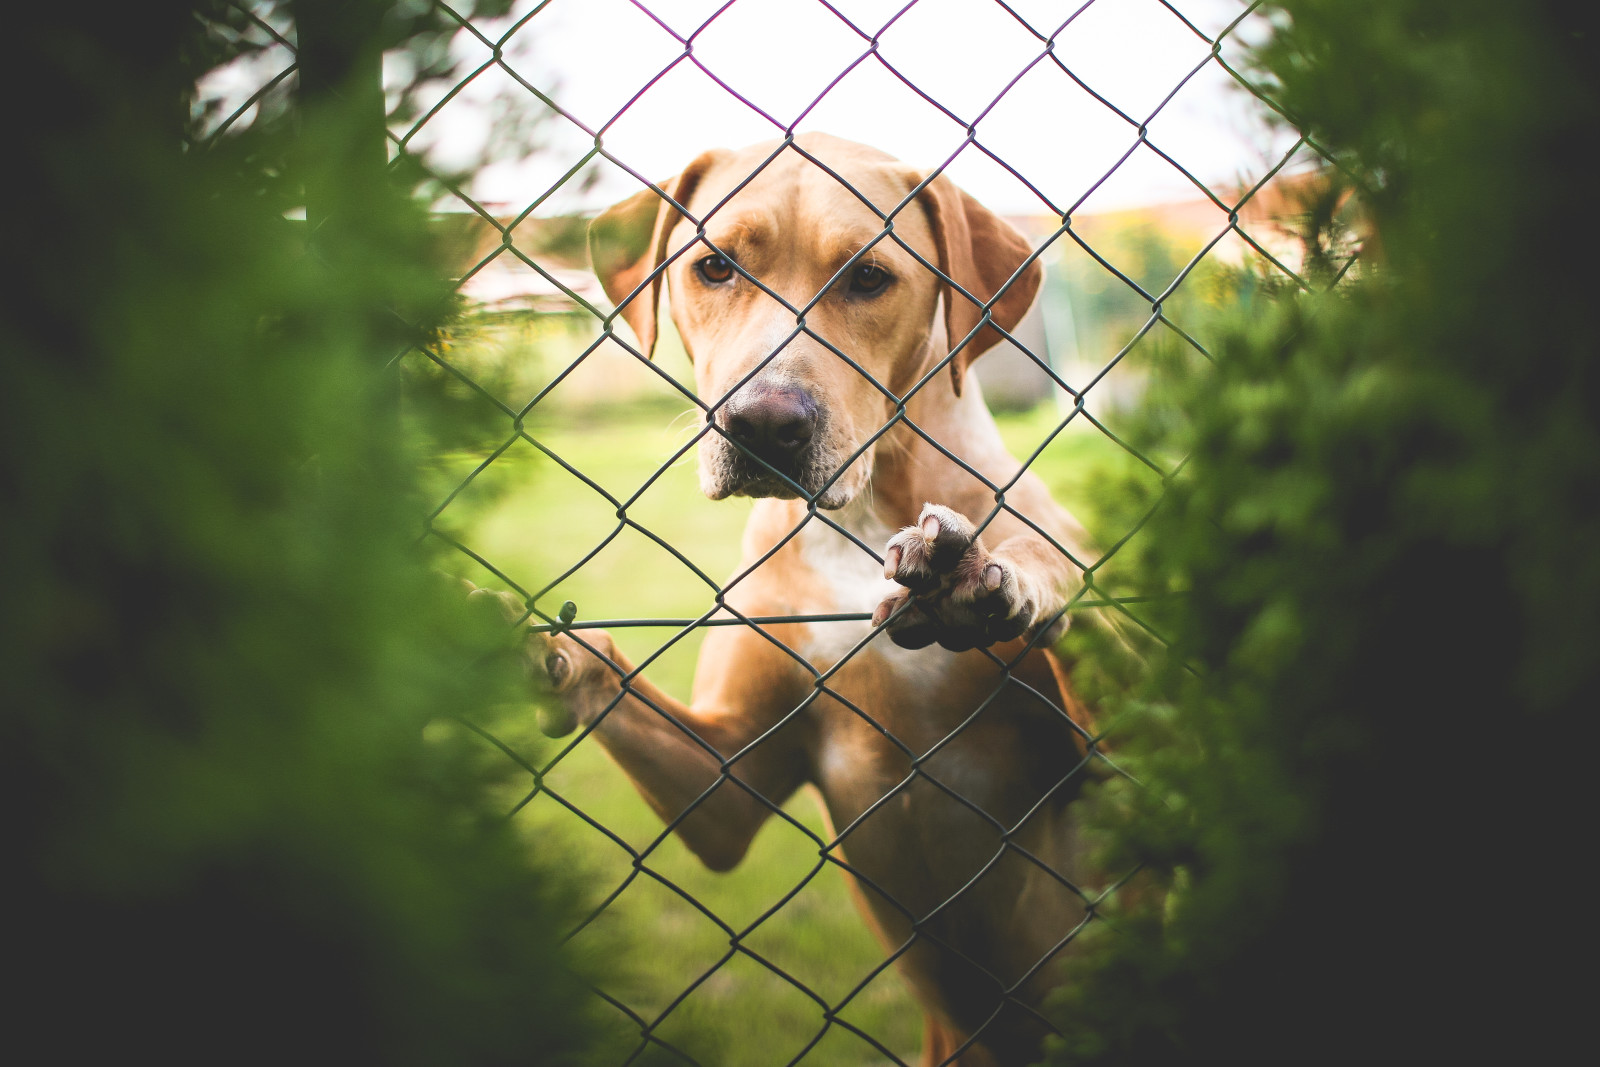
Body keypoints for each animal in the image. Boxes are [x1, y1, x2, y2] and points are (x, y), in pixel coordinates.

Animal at [499, 133, 1113, 1067]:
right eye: (713, 266)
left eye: (869, 277)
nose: (762, 424)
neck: (861, 515)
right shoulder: (727, 782)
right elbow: (623, 684)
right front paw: (527, 644)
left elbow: (1065, 574)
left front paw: (1007, 571)